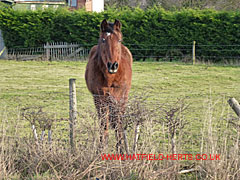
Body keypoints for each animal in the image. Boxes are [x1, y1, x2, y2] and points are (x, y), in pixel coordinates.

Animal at [85, 19, 133, 152]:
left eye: (119, 40)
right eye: (103, 40)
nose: (113, 65)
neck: (110, 77)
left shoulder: (119, 99)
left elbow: (118, 124)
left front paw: (120, 149)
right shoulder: (99, 99)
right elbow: (104, 124)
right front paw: (101, 149)